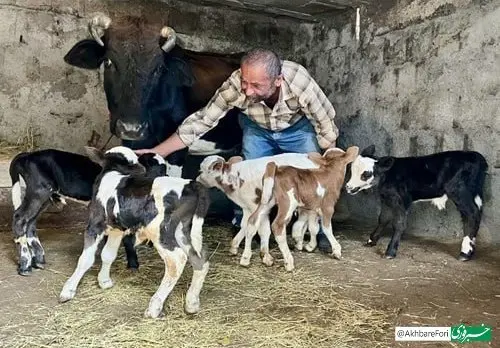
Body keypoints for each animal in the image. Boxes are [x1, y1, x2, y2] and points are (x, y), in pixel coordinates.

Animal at [9, 148, 167, 276]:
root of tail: (28, 155)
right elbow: (128, 237)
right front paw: (133, 264)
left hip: (46, 197)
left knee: (30, 223)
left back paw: (39, 260)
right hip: (39, 191)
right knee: (19, 218)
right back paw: (25, 265)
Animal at [59, 145, 210, 316]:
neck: (113, 173)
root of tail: (191, 185)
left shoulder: (95, 224)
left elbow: (85, 259)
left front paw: (68, 290)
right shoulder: (117, 229)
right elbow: (108, 254)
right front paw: (104, 281)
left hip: (160, 231)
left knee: (177, 261)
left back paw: (154, 307)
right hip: (183, 231)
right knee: (200, 259)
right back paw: (191, 303)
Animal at [346, 145, 486, 260]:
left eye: (366, 174)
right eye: (352, 170)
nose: (348, 187)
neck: (387, 177)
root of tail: (476, 156)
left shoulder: (401, 200)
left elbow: (399, 224)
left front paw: (390, 252)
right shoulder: (387, 199)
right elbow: (383, 219)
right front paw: (371, 240)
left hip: (459, 192)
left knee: (471, 214)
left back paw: (465, 253)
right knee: (476, 214)